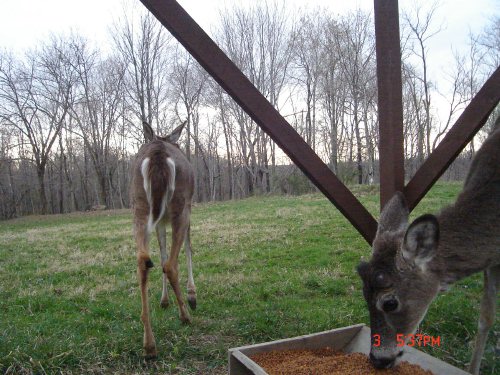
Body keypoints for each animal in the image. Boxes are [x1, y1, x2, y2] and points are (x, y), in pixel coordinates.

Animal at [130, 120, 196, 358]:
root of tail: (157, 153)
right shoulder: (189, 208)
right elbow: (187, 248)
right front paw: (192, 294)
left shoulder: (158, 222)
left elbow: (162, 251)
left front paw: (164, 300)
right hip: (180, 205)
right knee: (170, 264)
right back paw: (185, 315)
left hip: (139, 205)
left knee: (143, 260)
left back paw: (149, 344)